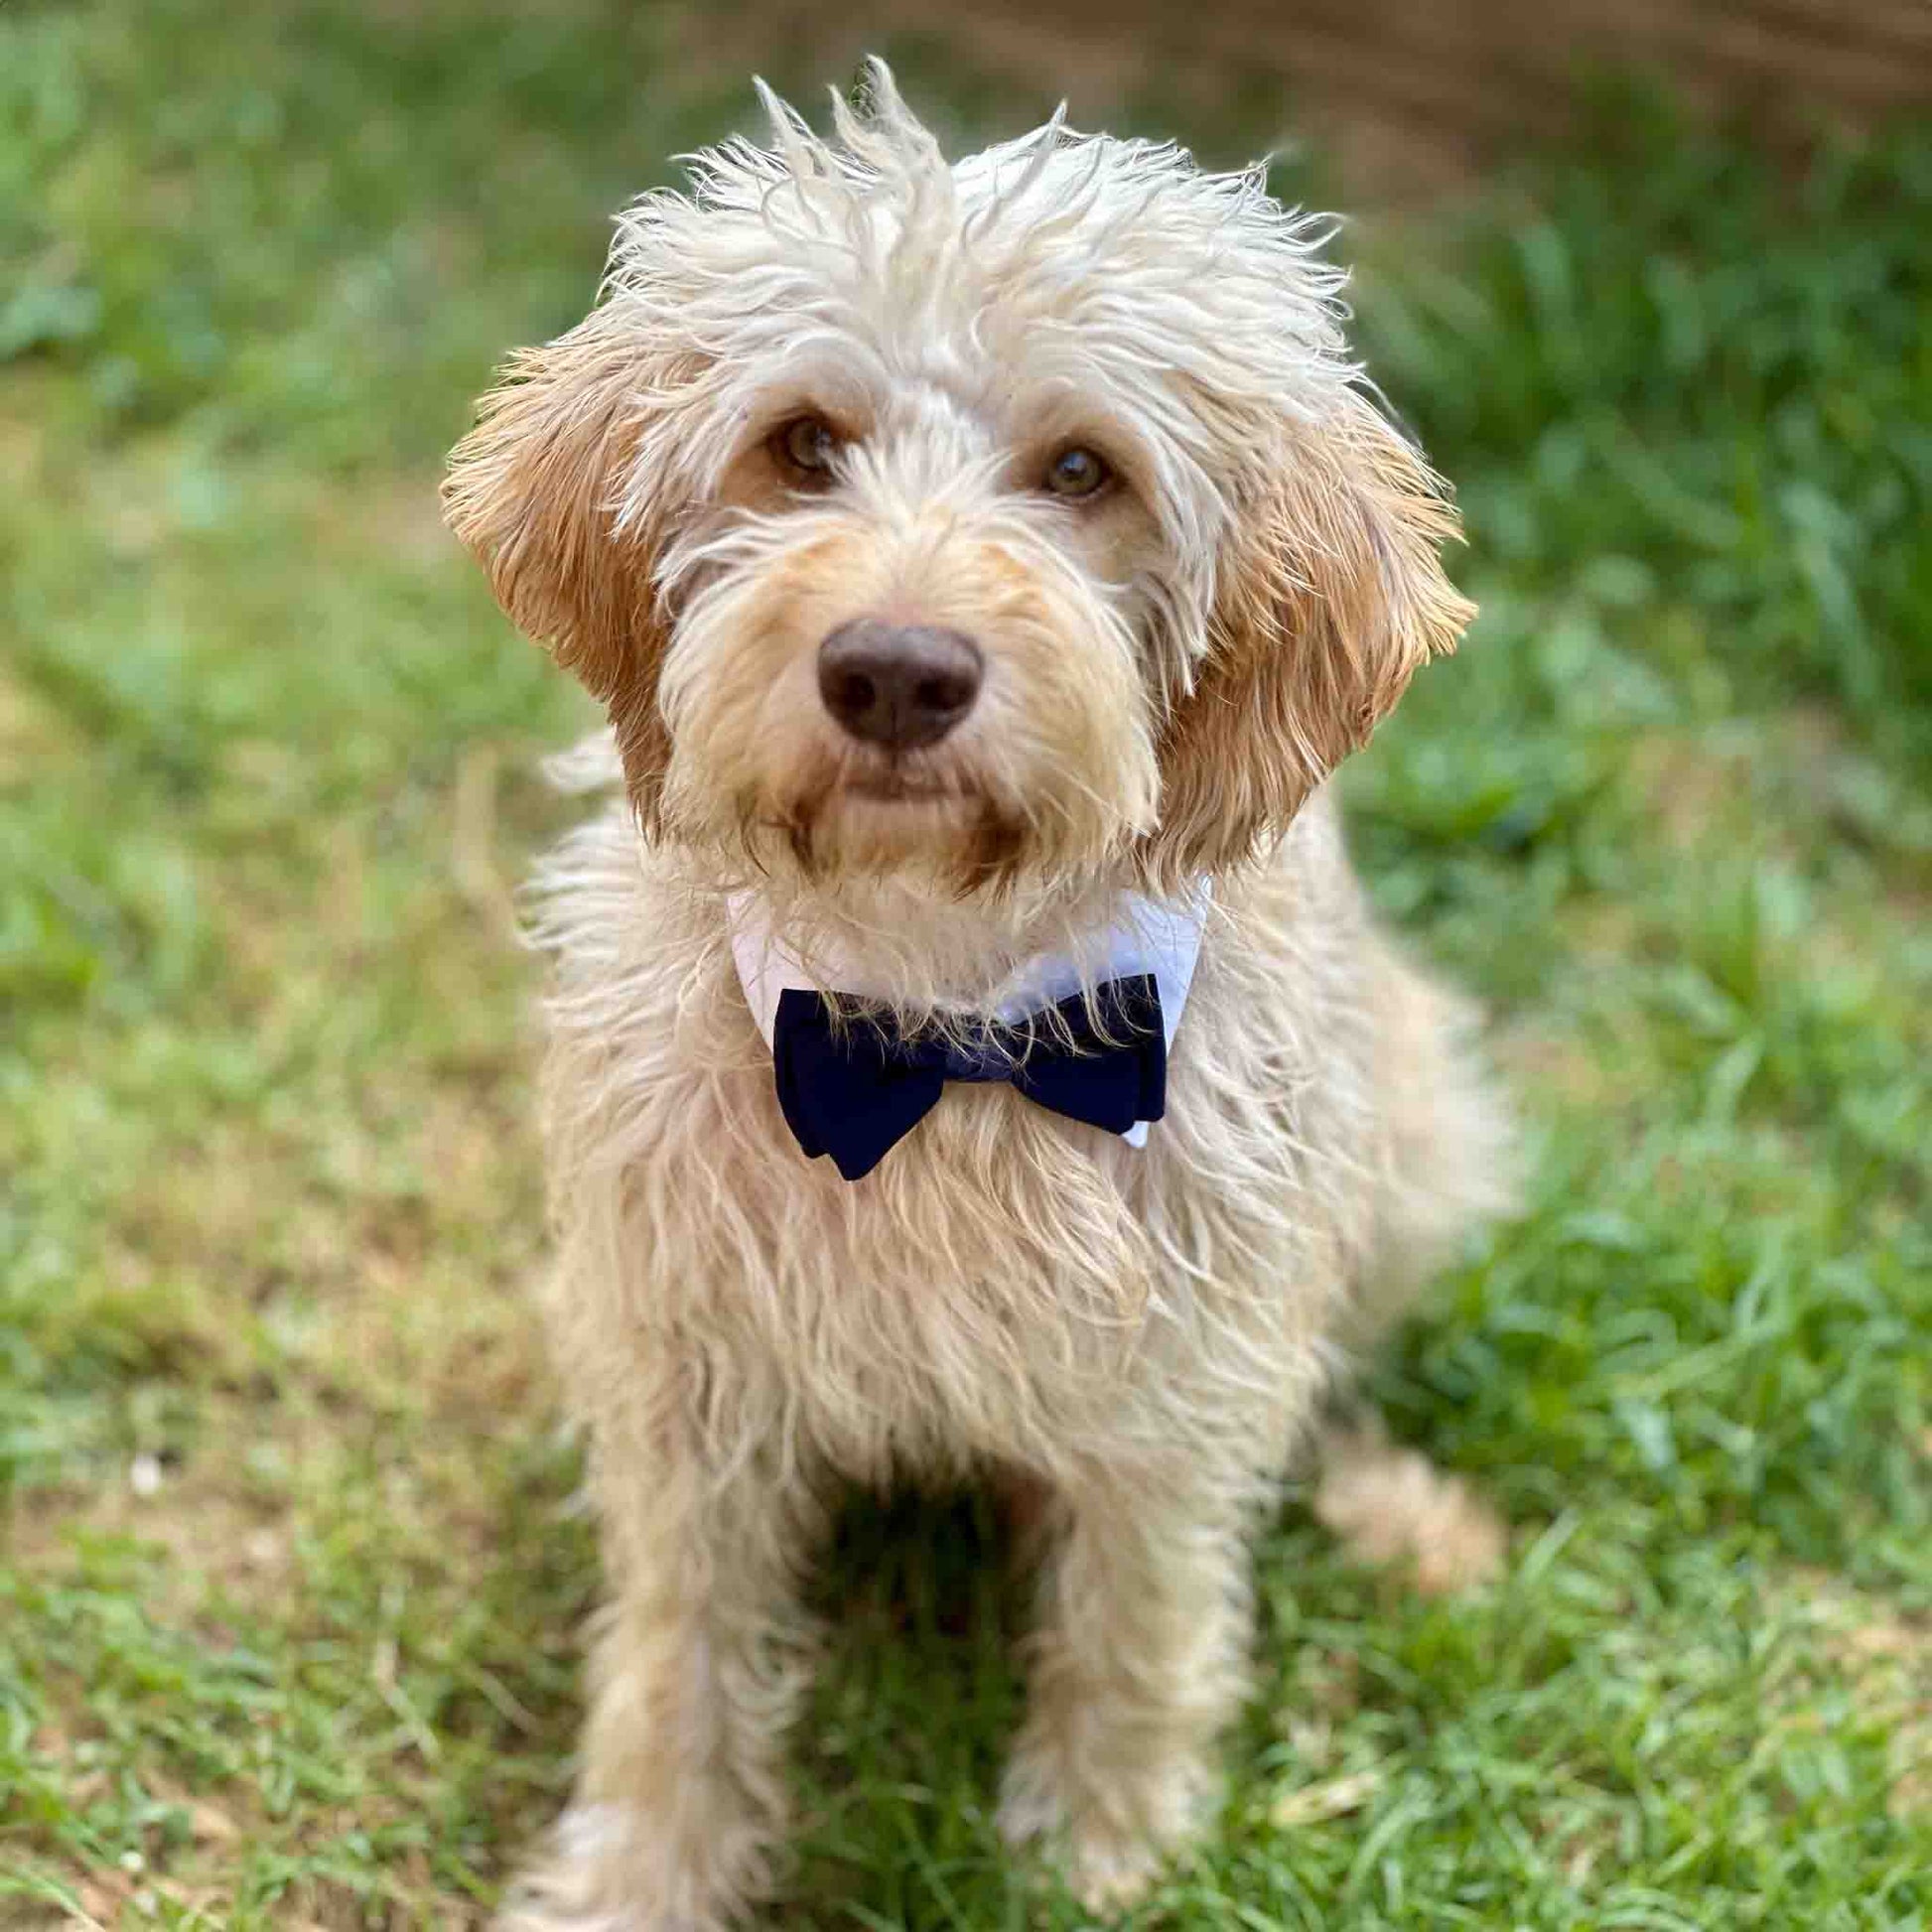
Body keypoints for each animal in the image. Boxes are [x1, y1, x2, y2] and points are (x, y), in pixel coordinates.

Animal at [444, 64, 1514, 1932]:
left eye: (1081, 469)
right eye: (803, 443)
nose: (893, 671)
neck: (933, 1023)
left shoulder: (1180, 1371)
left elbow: (1142, 1616)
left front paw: (1104, 1845)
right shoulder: (682, 1375)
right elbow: (680, 1653)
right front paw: (640, 1871)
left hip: (1415, 1143)